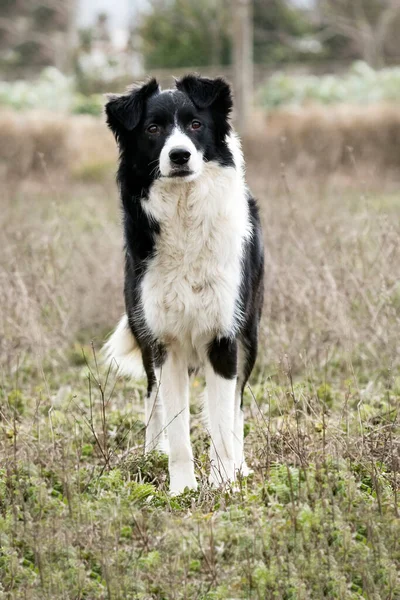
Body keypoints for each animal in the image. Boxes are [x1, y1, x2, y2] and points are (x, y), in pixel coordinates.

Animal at [104, 75, 264, 494]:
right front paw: (182, 489)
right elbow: (177, 427)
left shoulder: (224, 337)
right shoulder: (164, 342)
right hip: (144, 335)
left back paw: (239, 465)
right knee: (152, 396)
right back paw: (151, 452)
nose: (179, 156)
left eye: (195, 125)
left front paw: (225, 483)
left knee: (236, 405)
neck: (184, 210)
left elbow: (223, 421)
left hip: (250, 334)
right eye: (152, 129)